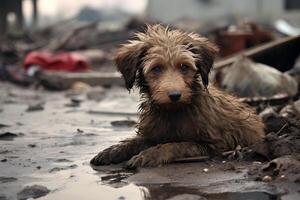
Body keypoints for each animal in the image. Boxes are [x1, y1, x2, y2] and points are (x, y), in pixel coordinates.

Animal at [89, 23, 264, 169]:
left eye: (184, 66)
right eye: (156, 68)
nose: (175, 95)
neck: (174, 111)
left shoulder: (214, 144)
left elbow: (176, 145)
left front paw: (150, 154)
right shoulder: (152, 134)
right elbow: (134, 142)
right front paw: (113, 151)